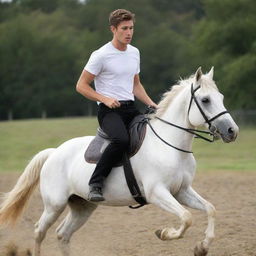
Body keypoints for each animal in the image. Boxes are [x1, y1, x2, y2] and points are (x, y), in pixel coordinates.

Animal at [1, 67, 239, 256]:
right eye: (206, 100)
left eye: (221, 97)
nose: (232, 131)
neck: (169, 145)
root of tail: (54, 153)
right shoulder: (157, 193)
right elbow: (187, 218)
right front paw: (163, 233)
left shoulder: (182, 191)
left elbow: (210, 209)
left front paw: (202, 247)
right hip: (54, 205)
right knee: (39, 231)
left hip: (82, 206)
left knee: (62, 234)